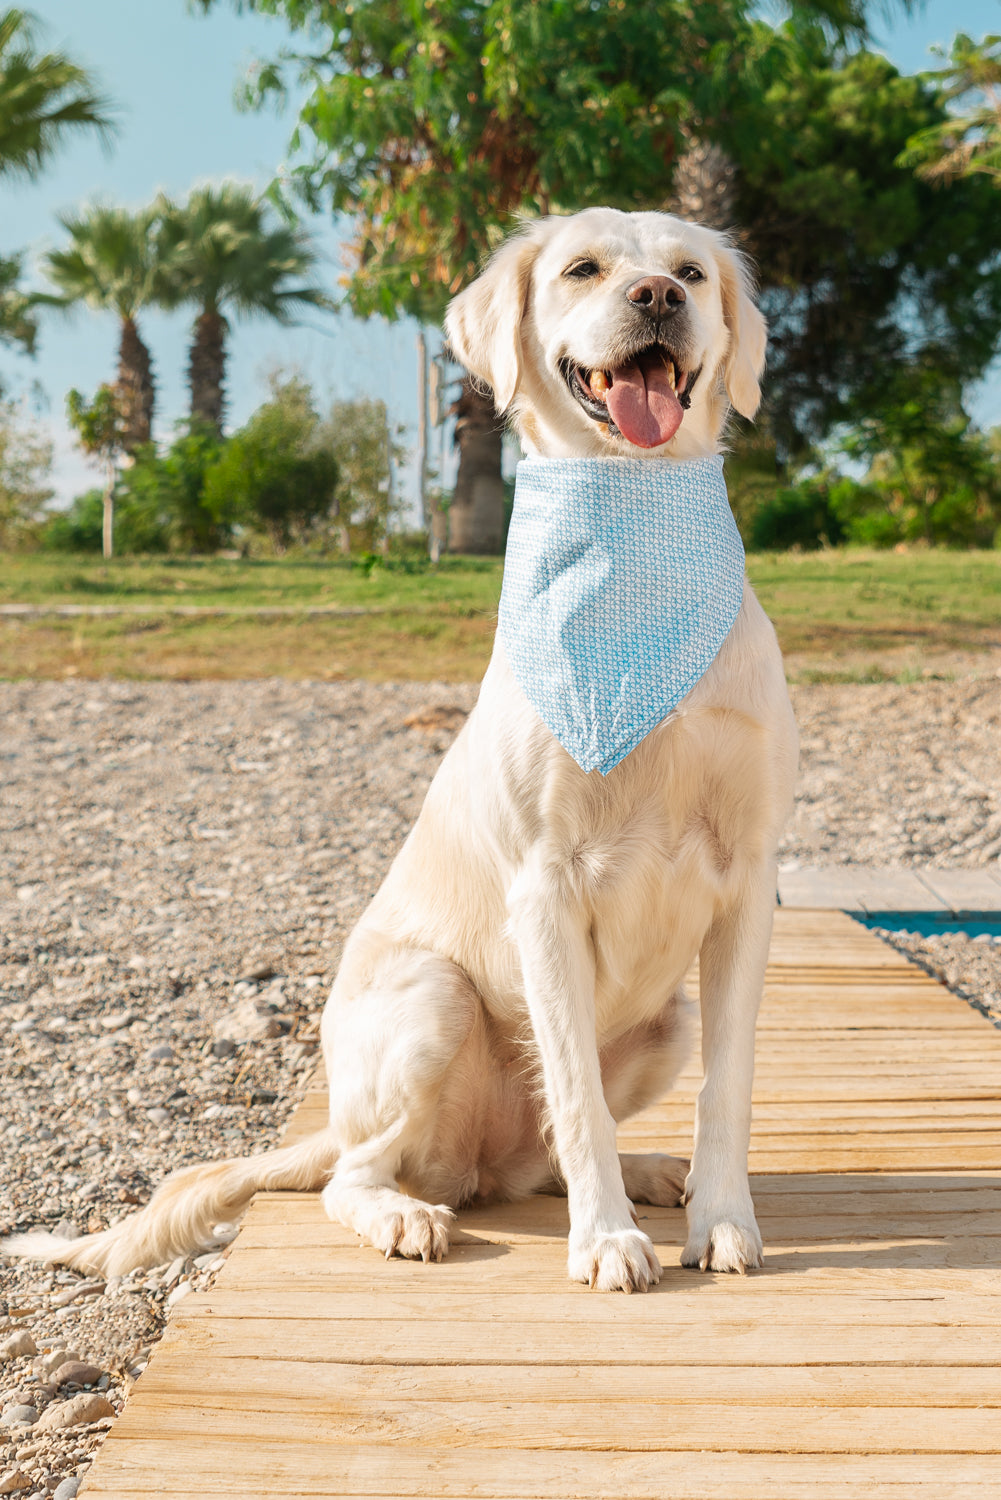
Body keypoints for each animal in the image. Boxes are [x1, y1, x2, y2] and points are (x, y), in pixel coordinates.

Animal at [1, 208, 798, 1290]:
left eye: (688, 271)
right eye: (583, 268)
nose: (657, 298)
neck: (631, 548)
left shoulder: (747, 878)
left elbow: (728, 1083)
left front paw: (719, 1220)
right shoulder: (544, 885)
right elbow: (575, 1093)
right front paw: (603, 1243)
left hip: (659, 1021)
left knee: (543, 1151)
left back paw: (638, 1171)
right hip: (433, 997)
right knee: (363, 1173)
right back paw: (407, 1215)